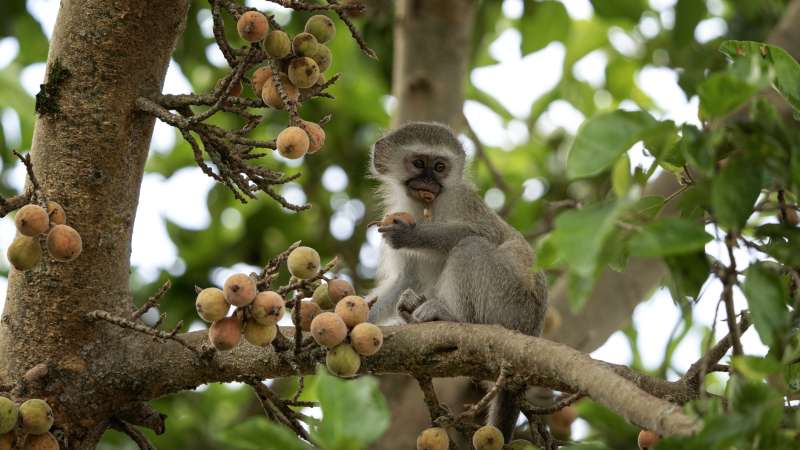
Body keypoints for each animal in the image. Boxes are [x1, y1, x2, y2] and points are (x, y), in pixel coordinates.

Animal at [367, 121, 548, 441]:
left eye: (440, 167)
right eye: (419, 163)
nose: (428, 183)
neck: (426, 208)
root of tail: (533, 329)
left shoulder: (463, 201)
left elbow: (482, 234)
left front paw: (413, 235)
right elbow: (407, 277)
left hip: (510, 306)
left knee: (470, 246)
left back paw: (452, 316)